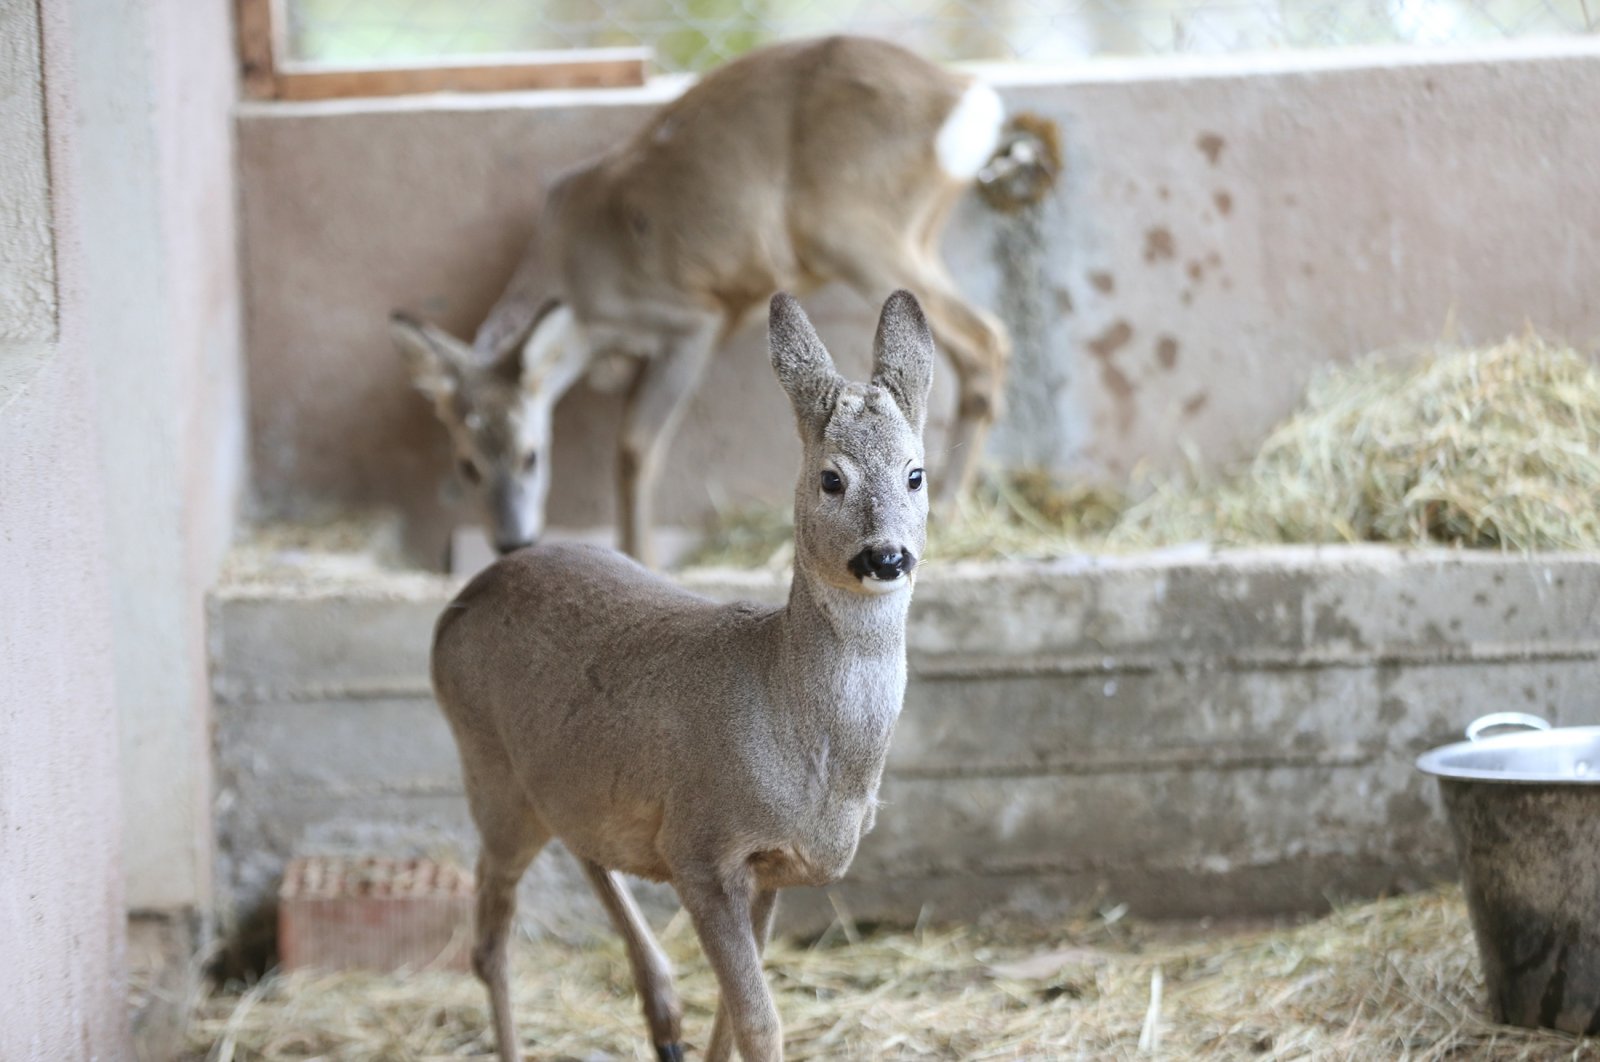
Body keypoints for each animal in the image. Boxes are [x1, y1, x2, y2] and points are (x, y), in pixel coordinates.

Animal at [390, 35, 1011, 562]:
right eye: (466, 465)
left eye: (531, 454)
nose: (512, 542)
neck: (578, 286)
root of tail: (964, 98)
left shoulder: (692, 319)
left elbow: (635, 448)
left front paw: (638, 558)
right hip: (906, 234)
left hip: (852, 226)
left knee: (987, 337)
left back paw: (948, 512)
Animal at [432, 292, 934, 1062]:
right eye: (832, 477)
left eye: (915, 473)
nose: (886, 556)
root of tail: (453, 610)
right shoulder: (702, 848)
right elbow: (758, 1020)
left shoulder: (771, 867)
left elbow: (733, 1014)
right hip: (490, 772)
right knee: (490, 941)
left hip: (569, 775)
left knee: (584, 847)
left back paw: (662, 1014)